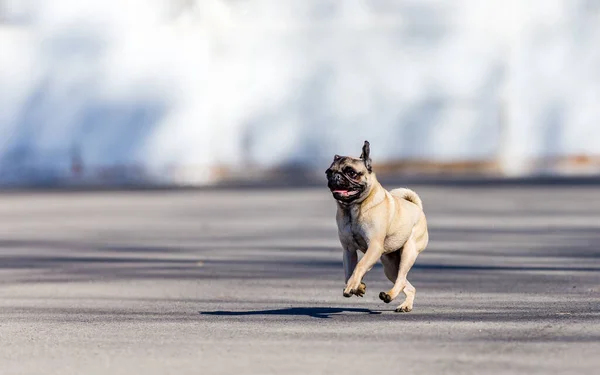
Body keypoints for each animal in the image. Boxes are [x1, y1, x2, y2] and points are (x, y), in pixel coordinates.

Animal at [326, 140, 428, 312]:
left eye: (351, 172)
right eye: (328, 172)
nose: (335, 176)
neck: (352, 208)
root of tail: (417, 207)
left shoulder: (374, 246)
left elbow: (359, 266)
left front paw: (352, 286)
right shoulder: (348, 251)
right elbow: (349, 273)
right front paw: (357, 287)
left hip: (408, 252)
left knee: (401, 279)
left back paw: (390, 296)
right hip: (390, 266)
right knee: (407, 285)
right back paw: (404, 304)